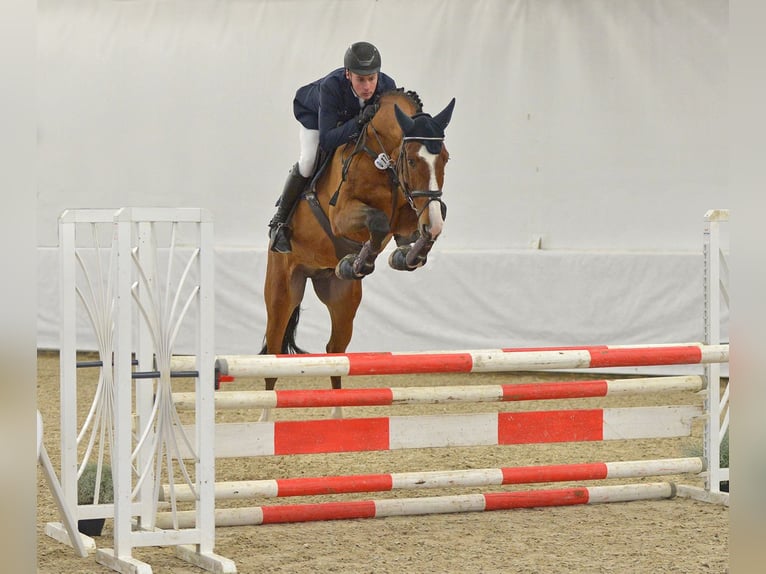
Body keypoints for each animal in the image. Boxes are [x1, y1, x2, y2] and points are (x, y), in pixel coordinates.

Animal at [262, 90, 456, 420]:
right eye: (412, 160)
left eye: (445, 158)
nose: (432, 224)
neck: (382, 159)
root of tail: (313, 272)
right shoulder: (342, 215)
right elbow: (377, 222)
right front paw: (361, 261)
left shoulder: (409, 217)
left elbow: (421, 226)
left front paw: (402, 257)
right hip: (282, 292)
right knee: (273, 353)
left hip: (343, 300)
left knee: (335, 352)